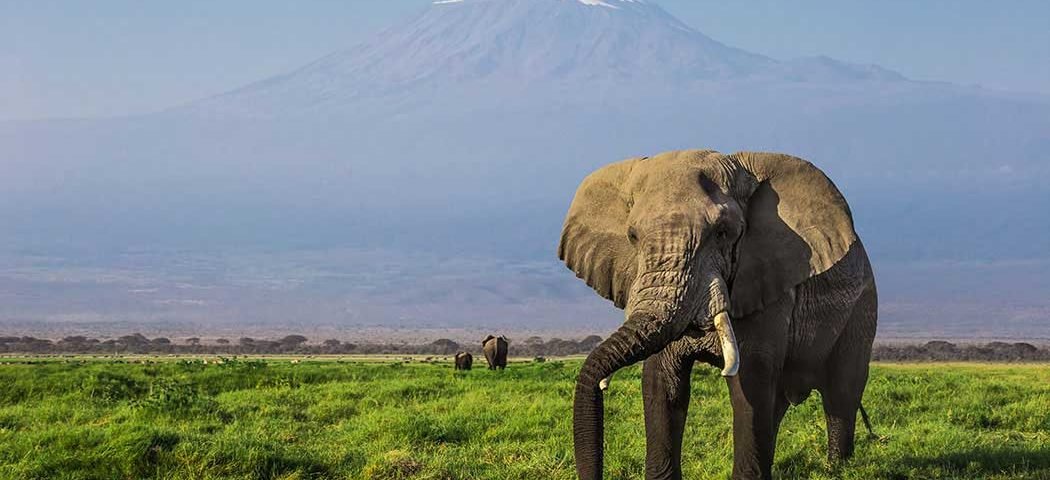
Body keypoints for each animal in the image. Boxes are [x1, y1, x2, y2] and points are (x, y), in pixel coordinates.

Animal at [558, 150, 877, 479]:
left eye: (723, 233)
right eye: (632, 236)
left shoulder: (764, 283)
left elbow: (749, 384)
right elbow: (661, 381)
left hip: (863, 304)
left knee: (842, 391)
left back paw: (838, 467)